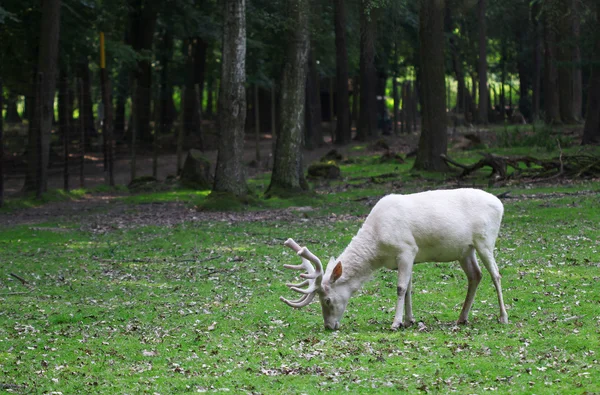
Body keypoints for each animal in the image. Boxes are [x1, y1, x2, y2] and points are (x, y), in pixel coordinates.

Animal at [278, 189, 508, 332]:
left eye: (326, 300)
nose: (328, 326)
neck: (379, 248)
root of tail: (500, 204)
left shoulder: (407, 248)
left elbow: (400, 288)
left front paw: (395, 323)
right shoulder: (407, 257)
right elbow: (408, 289)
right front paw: (409, 320)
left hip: (485, 241)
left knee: (496, 274)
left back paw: (503, 317)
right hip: (465, 250)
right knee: (475, 275)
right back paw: (462, 317)